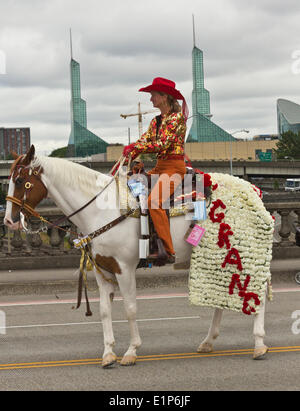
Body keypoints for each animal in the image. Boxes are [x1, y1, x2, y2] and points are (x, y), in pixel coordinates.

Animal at [3, 146, 268, 368]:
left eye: (20, 180)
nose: (9, 220)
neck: (101, 210)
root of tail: (251, 189)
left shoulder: (124, 268)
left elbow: (130, 309)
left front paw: (131, 351)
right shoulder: (102, 270)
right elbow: (105, 310)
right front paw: (108, 353)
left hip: (240, 251)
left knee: (258, 292)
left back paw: (259, 344)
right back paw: (209, 341)